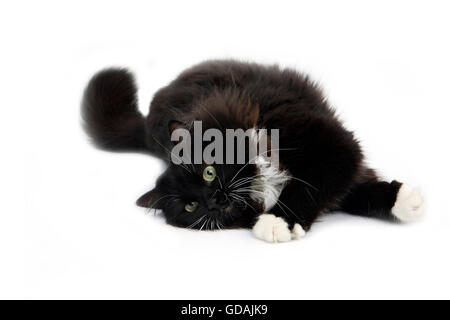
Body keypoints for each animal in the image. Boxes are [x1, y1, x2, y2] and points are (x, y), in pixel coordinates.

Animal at [81, 59, 426, 242]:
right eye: (191, 207)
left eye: (209, 172)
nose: (214, 200)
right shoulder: (337, 165)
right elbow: (346, 193)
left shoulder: (333, 147)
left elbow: (329, 188)